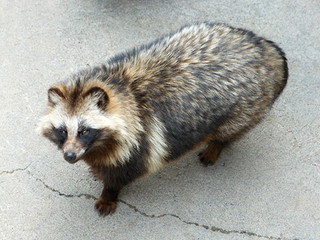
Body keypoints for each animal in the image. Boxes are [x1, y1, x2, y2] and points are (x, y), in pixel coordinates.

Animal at [37, 23, 288, 217]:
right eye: (62, 130)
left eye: (84, 130)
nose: (70, 156)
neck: (123, 87)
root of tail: (266, 48)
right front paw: (97, 168)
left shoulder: (140, 142)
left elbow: (122, 175)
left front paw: (109, 194)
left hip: (248, 105)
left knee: (231, 130)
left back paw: (216, 145)